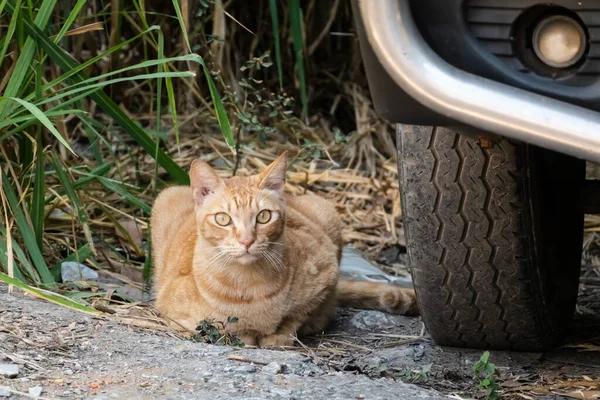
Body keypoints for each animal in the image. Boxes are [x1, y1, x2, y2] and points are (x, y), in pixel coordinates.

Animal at [151, 153, 418, 346]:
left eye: (264, 216)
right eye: (223, 219)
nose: (246, 241)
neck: (248, 287)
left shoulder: (325, 274)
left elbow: (296, 317)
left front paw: (278, 336)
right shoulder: (174, 314)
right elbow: (229, 329)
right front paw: (249, 335)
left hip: (326, 212)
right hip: (166, 197)